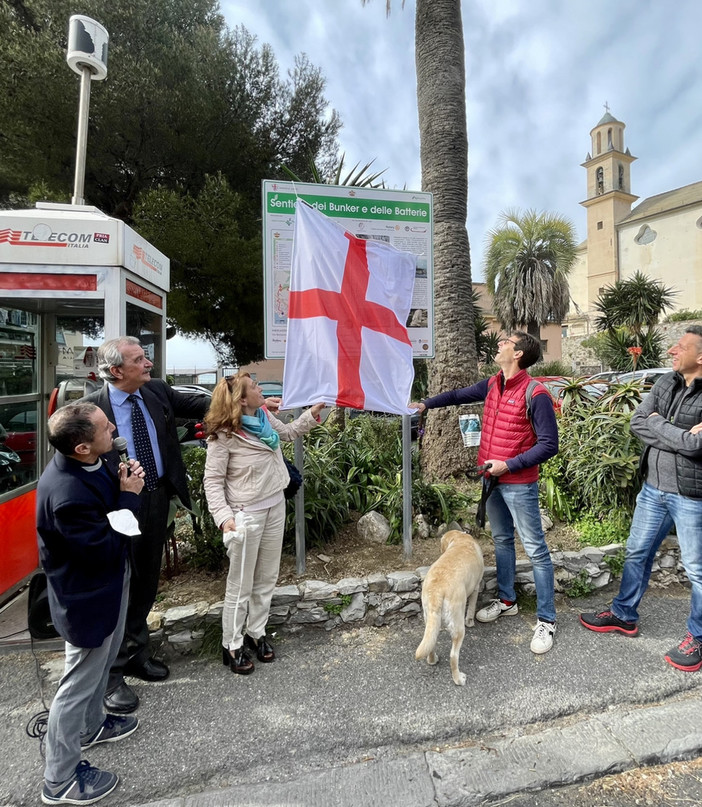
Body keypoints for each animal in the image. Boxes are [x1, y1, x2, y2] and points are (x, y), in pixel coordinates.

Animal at [418, 532, 484, 684]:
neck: (460, 539)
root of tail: (437, 590)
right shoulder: (476, 588)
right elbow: (471, 608)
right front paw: (470, 622)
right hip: (458, 624)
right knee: (453, 656)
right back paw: (459, 679)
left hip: (429, 617)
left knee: (431, 642)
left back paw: (432, 660)